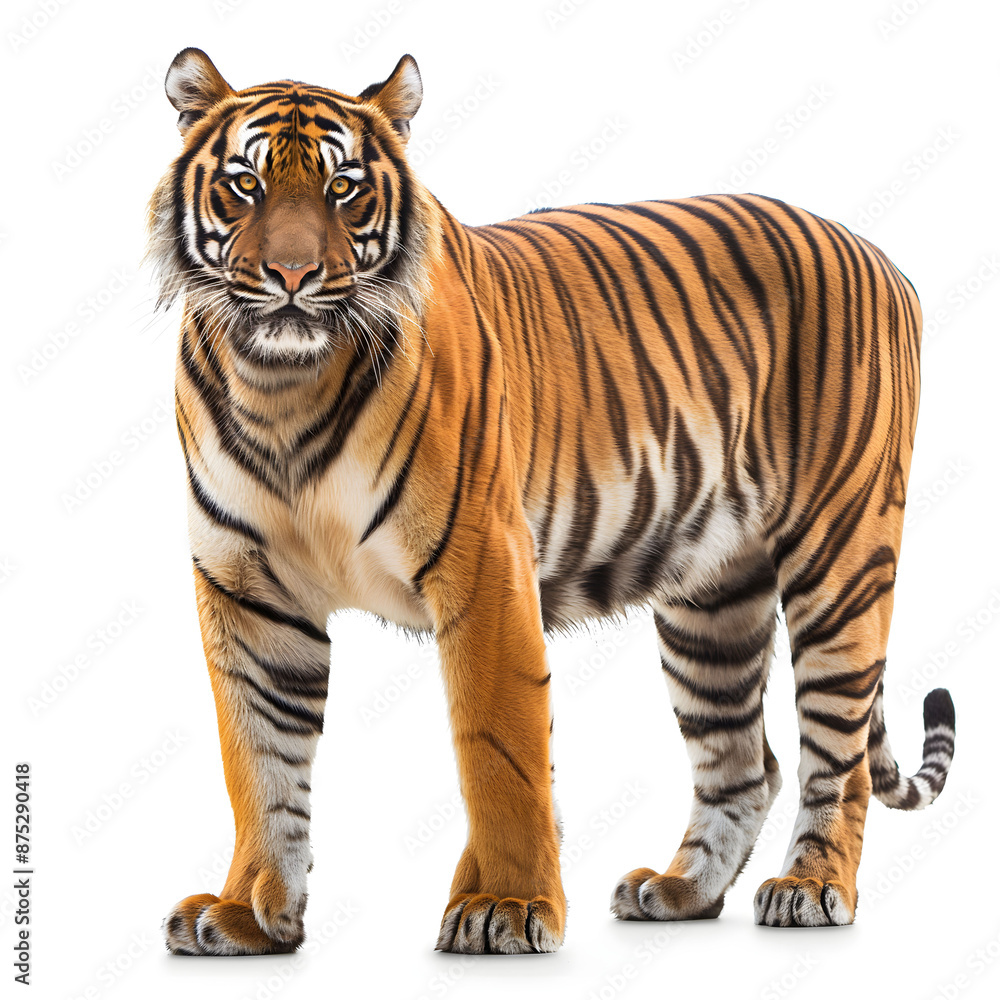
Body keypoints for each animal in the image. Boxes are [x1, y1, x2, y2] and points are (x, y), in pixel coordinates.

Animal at [148, 47, 956, 956]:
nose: (292, 277)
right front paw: (246, 913)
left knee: (836, 755)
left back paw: (811, 887)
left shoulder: (480, 564)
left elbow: (499, 749)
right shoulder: (247, 590)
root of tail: (877, 253)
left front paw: (505, 905)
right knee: (747, 764)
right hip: (712, 598)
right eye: (246, 184)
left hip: (840, 558)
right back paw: (681, 891)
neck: (280, 385)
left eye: (343, 187)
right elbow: (257, 761)